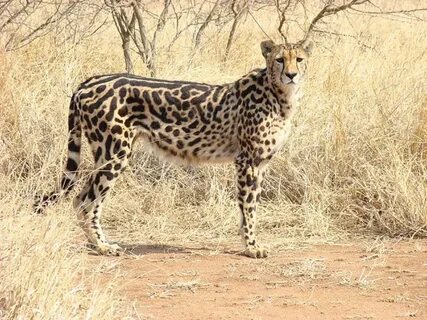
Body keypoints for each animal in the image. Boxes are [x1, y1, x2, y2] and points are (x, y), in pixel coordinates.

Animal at [35, 39, 312, 258]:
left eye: (299, 59)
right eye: (279, 60)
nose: (291, 75)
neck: (278, 93)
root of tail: (88, 82)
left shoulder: (261, 162)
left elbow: (250, 206)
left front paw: (249, 243)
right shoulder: (247, 160)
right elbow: (249, 206)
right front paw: (252, 247)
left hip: (107, 152)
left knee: (82, 198)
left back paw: (96, 245)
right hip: (114, 152)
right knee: (85, 201)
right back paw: (103, 246)